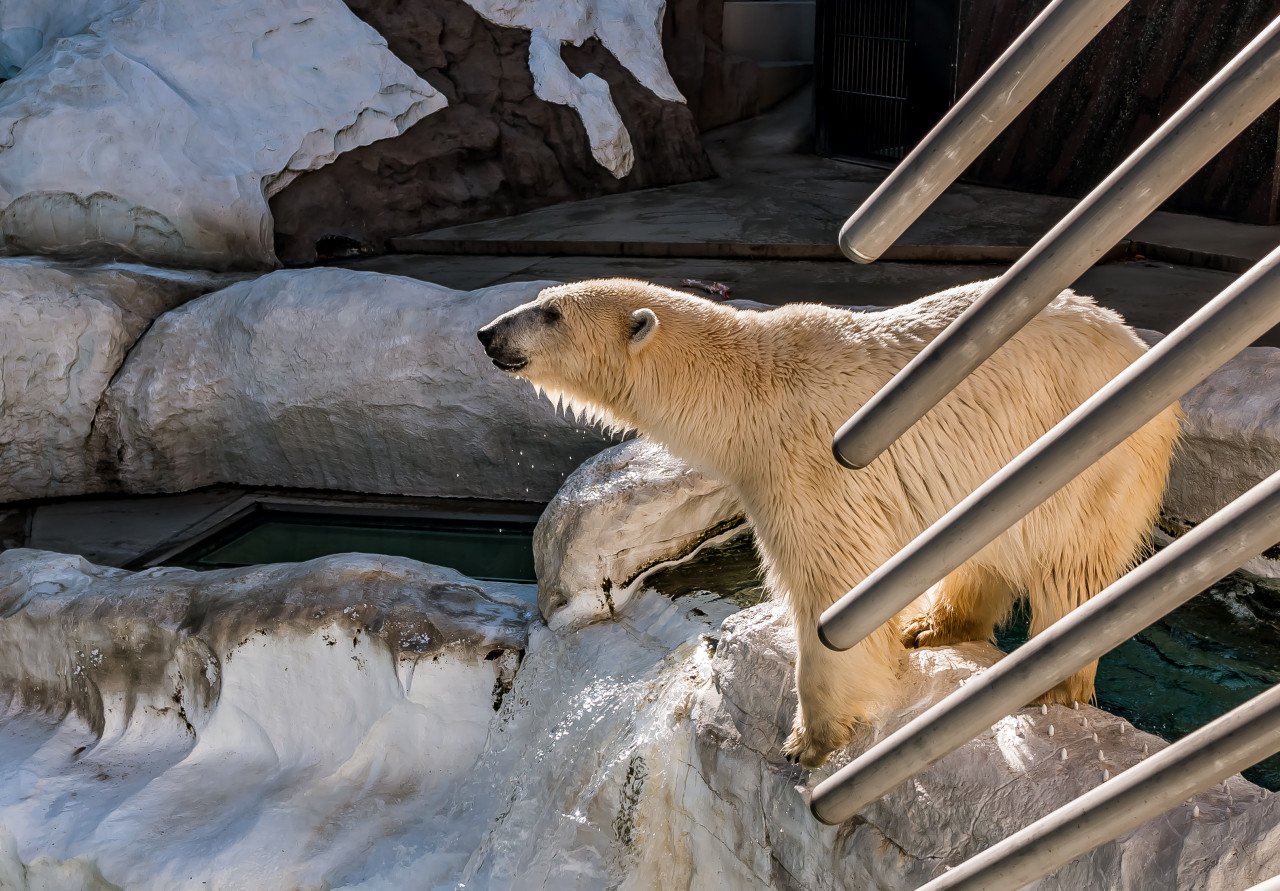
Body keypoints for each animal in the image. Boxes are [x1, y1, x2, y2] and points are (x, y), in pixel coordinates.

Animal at [478, 279, 1177, 768]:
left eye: (550, 312)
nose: (487, 333)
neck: (748, 390)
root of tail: (1136, 344)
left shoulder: (807, 466)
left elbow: (831, 590)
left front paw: (807, 741)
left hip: (1086, 456)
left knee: (1070, 566)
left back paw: (1049, 685)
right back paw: (933, 627)